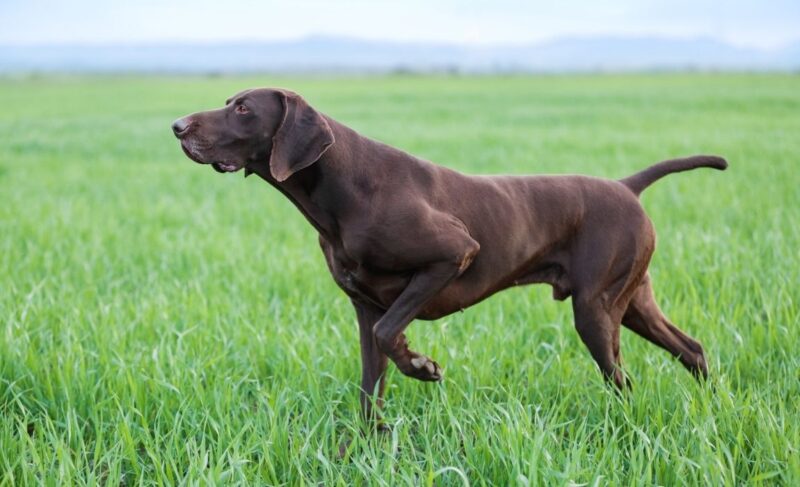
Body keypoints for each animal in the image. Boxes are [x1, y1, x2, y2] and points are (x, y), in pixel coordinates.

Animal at [172, 88, 728, 428]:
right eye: (230, 103)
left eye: (244, 109)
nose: (177, 126)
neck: (344, 187)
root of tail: (626, 186)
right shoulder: (363, 306)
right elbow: (370, 382)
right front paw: (368, 446)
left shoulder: (452, 256)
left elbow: (390, 333)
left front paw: (422, 366)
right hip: (631, 302)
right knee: (692, 348)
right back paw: (714, 406)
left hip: (596, 310)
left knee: (623, 378)